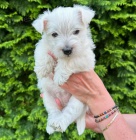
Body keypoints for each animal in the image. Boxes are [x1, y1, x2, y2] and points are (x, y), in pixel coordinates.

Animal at [32, 4, 95, 135]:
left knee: (68, 113)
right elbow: (42, 52)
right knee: (53, 112)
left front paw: (59, 76)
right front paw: (41, 69)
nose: (67, 50)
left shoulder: (86, 57)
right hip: (47, 97)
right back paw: (51, 126)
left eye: (76, 32)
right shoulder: (43, 45)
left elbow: (70, 61)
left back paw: (59, 124)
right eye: (54, 34)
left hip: (78, 101)